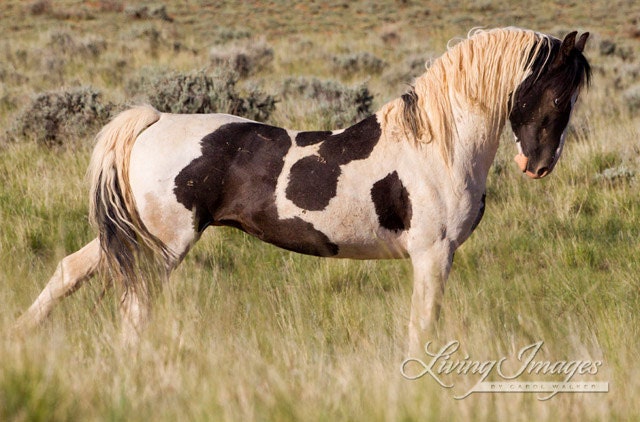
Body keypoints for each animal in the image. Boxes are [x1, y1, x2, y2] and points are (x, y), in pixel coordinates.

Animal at [16, 28, 591, 351]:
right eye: (558, 94)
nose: (537, 165)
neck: (437, 143)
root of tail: (154, 120)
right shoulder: (433, 253)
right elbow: (422, 326)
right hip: (163, 247)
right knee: (135, 307)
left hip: (135, 236)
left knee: (71, 269)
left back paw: (23, 333)